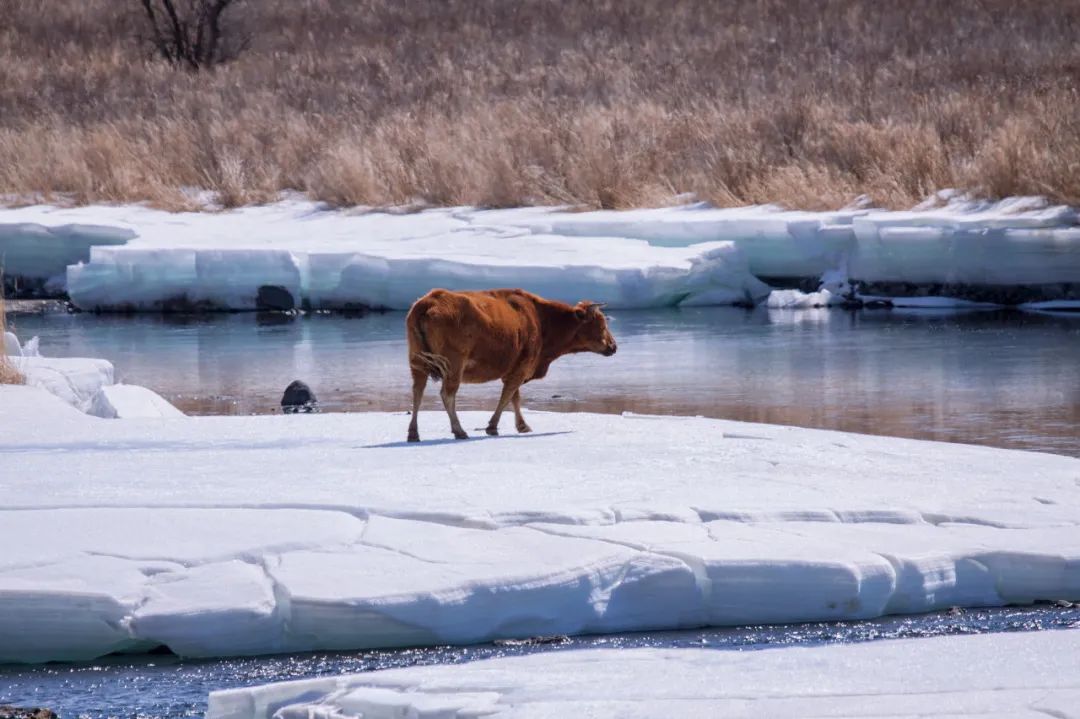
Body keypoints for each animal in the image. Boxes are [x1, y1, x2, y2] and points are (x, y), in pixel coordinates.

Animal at [406, 289, 617, 440]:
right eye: (601, 324)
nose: (613, 346)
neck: (542, 321)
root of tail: (427, 304)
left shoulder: (514, 368)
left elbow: (514, 397)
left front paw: (522, 425)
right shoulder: (521, 366)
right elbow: (508, 394)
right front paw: (493, 426)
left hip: (417, 362)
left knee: (417, 392)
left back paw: (413, 434)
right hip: (454, 364)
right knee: (447, 394)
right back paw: (459, 431)